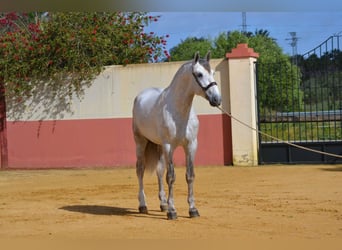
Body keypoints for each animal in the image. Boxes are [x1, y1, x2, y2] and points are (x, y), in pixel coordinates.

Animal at [131, 51, 222, 220]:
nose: (216, 99)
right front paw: (172, 211)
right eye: (199, 74)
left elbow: (190, 175)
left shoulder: (191, 146)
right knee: (140, 170)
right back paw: (143, 205)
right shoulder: (169, 147)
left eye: (212, 73)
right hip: (141, 142)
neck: (178, 112)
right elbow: (171, 177)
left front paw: (192, 209)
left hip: (159, 146)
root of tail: (141, 96)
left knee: (159, 170)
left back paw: (163, 204)